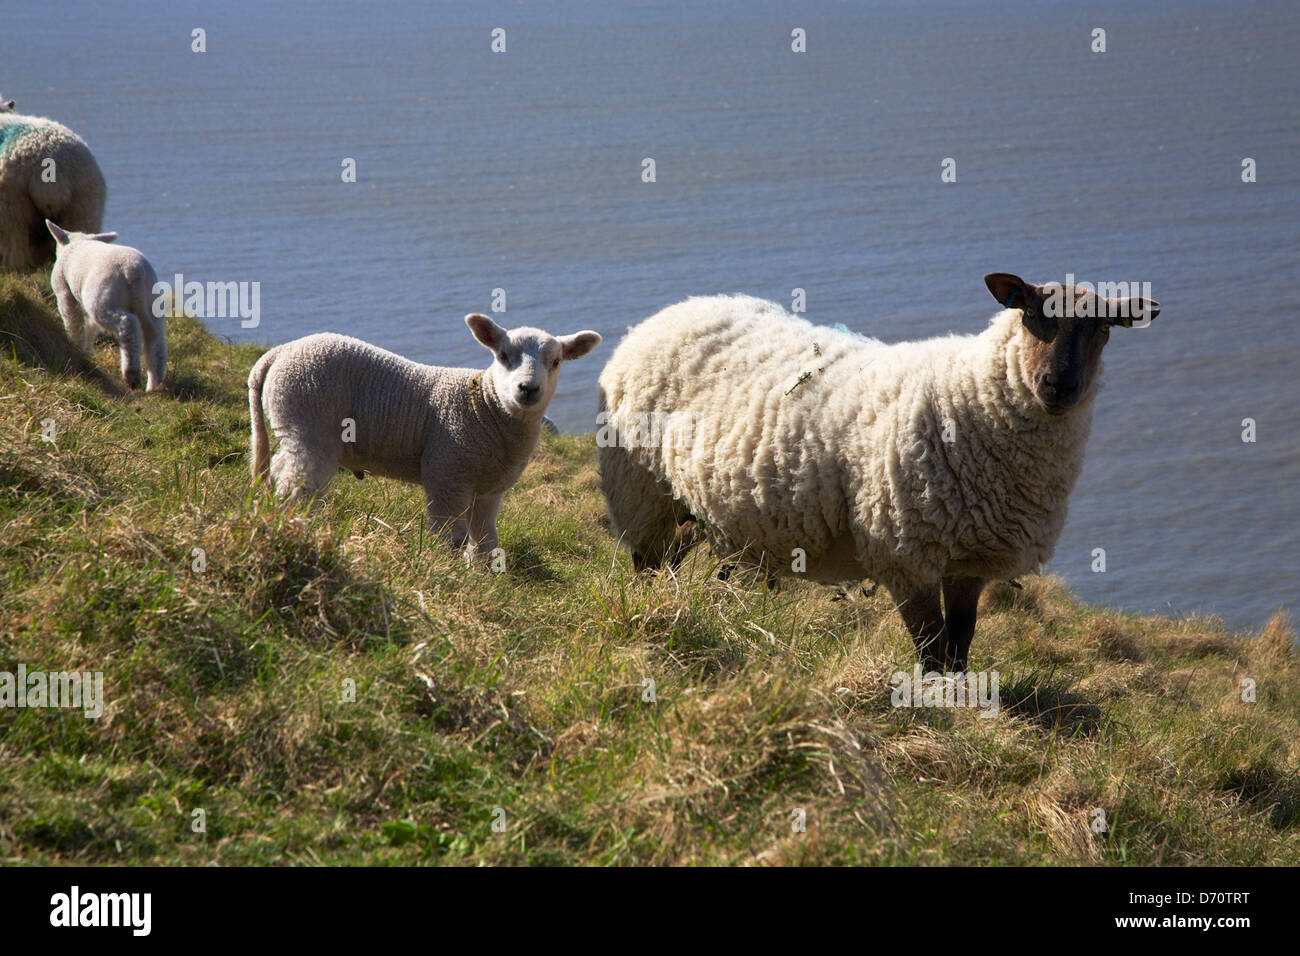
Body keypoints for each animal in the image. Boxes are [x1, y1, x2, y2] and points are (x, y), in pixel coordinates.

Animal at [45, 221, 166, 392]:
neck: (78, 242)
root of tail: (132, 270)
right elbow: (90, 327)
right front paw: (87, 351)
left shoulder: (64, 292)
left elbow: (73, 323)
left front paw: (75, 346)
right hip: (151, 304)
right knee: (155, 339)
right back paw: (154, 384)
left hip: (102, 298)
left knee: (128, 324)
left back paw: (131, 374)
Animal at [245, 314, 600, 561]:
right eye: (502, 356)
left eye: (556, 362)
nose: (527, 388)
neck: (487, 408)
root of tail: (279, 353)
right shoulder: (447, 472)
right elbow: (451, 536)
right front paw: (445, 571)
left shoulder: (489, 490)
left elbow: (486, 540)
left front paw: (481, 575)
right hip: (307, 422)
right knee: (296, 487)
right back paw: (294, 528)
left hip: (295, 427)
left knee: (280, 471)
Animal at [595, 273, 1159, 671]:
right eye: (1029, 314)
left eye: (1103, 328)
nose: (1057, 386)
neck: (970, 395)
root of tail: (673, 310)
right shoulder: (904, 550)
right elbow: (930, 647)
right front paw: (936, 710)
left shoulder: (971, 558)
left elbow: (960, 643)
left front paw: (961, 703)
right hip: (642, 491)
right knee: (650, 562)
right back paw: (653, 613)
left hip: (711, 507)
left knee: (692, 557)